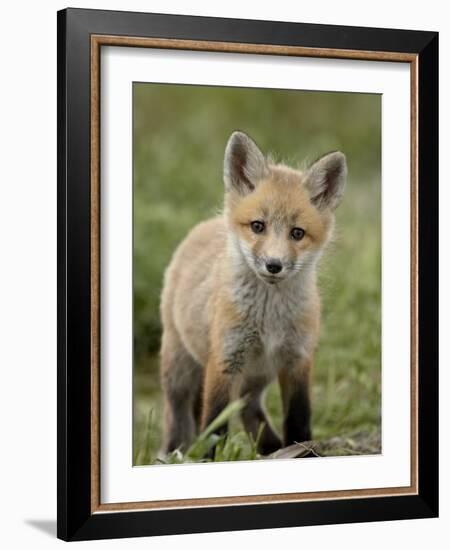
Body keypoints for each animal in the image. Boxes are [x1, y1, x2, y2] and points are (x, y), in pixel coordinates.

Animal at [160, 133, 346, 458]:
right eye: (258, 226)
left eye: (297, 233)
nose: (274, 265)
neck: (269, 318)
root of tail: (203, 226)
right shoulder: (225, 359)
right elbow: (213, 424)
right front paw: (208, 462)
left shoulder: (297, 359)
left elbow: (299, 420)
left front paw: (303, 451)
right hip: (180, 369)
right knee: (178, 415)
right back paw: (172, 454)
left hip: (256, 378)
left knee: (249, 410)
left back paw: (271, 449)